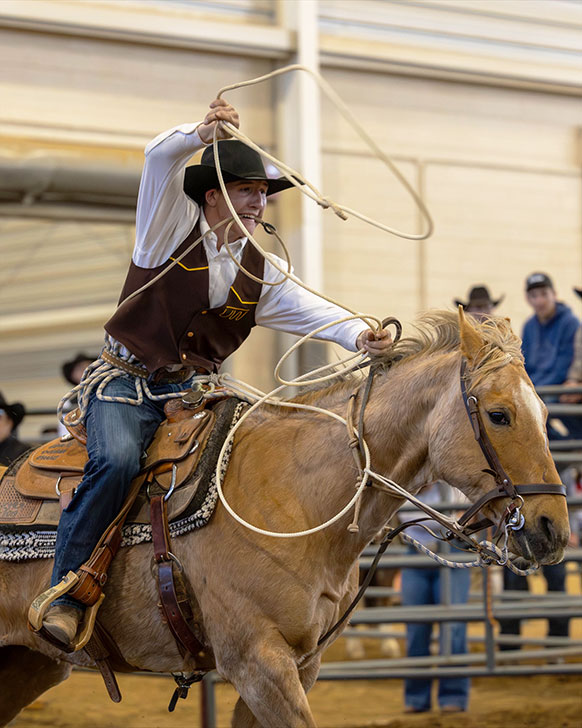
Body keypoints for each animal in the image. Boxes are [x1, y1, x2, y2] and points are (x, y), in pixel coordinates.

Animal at [0, 308, 569, 727]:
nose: (554, 529)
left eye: (546, 415)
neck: (298, 499)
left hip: (29, 665)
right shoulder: (259, 664)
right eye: (498, 414)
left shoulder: (299, 665)